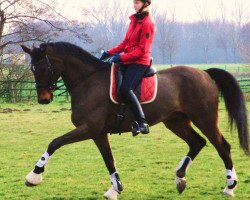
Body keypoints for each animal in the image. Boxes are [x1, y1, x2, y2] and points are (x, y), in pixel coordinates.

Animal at [20, 41, 249, 199]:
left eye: (42, 68)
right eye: (32, 69)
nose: (43, 99)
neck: (88, 81)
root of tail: (205, 73)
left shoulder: (88, 129)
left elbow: (55, 143)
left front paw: (34, 175)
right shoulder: (98, 133)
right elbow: (109, 160)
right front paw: (115, 189)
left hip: (205, 119)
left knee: (222, 146)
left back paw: (229, 187)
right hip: (176, 122)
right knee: (197, 142)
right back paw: (180, 178)